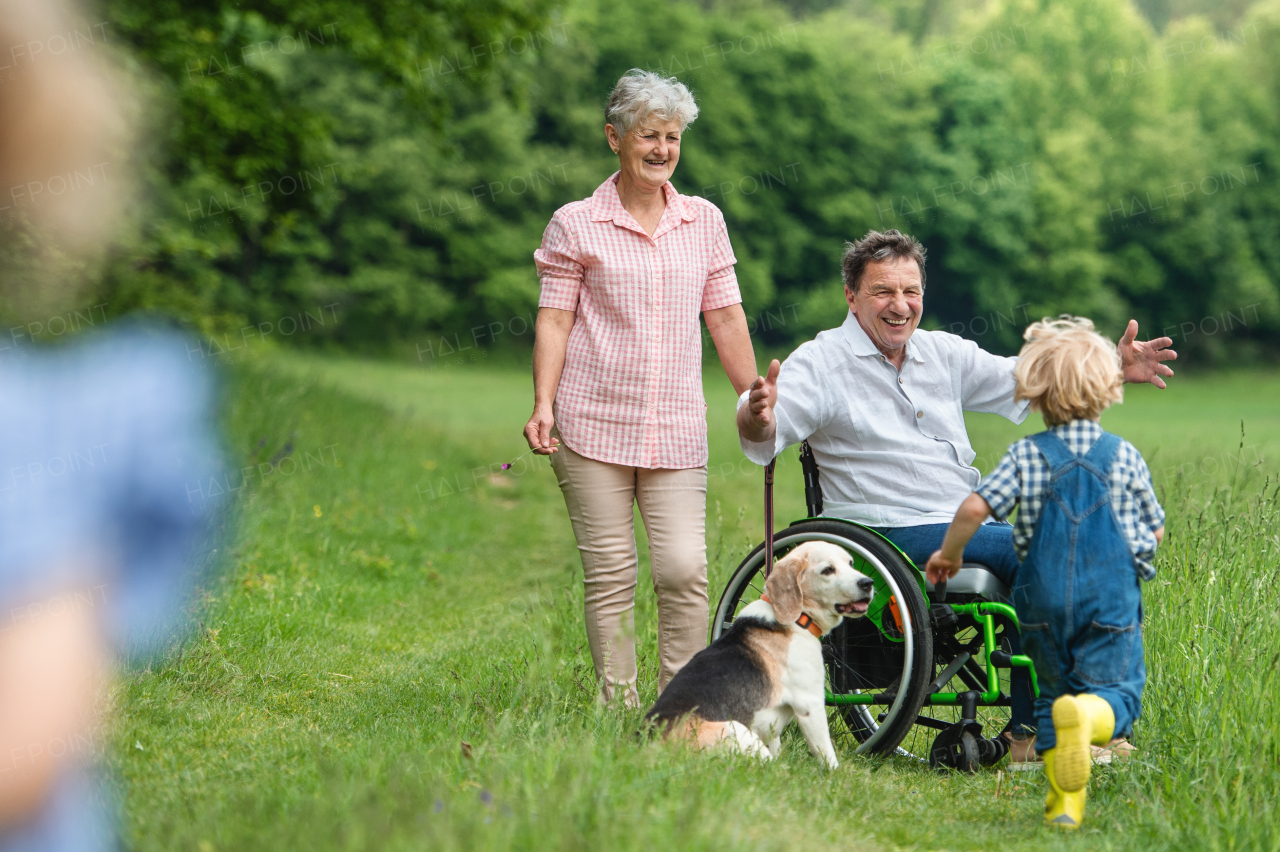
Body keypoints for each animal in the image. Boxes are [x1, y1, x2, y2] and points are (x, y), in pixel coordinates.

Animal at [645, 539, 875, 767]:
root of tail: (650, 745)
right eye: (828, 570)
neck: (799, 619)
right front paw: (835, 773)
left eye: (851, 563)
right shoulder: (810, 705)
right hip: (738, 730)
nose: (868, 583)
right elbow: (827, 755)